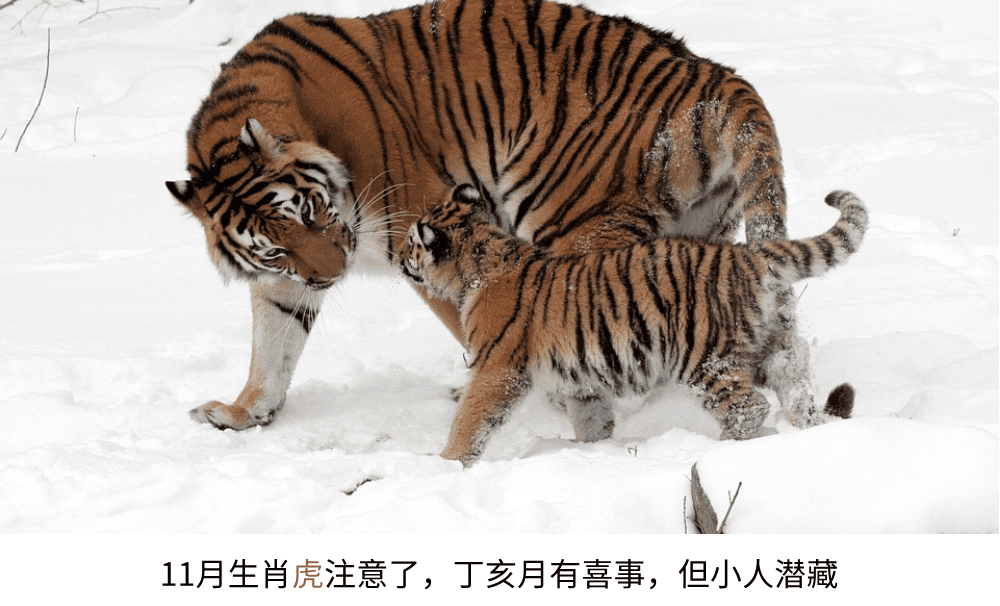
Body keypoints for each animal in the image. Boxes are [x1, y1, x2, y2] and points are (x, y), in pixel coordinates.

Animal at [166, 0, 821, 433]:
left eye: (308, 209)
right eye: (274, 246)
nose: (332, 275)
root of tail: (717, 76)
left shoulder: (420, 225)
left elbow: (477, 323)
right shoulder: (285, 279)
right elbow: (272, 342)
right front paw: (243, 412)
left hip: (574, 222)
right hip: (699, 233)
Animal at [401, 184, 867, 466]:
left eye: (411, 243)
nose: (401, 259)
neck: (480, 258)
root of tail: (745, 255)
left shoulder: (497, 368)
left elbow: (471, 418)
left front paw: (445, 463)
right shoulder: (579, 375)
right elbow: (590, 416)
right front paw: (590, 448)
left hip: (704, 357)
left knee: (748, 406)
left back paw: (717, 451)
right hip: (773, 344)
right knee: (797, 386)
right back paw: (808, 432)